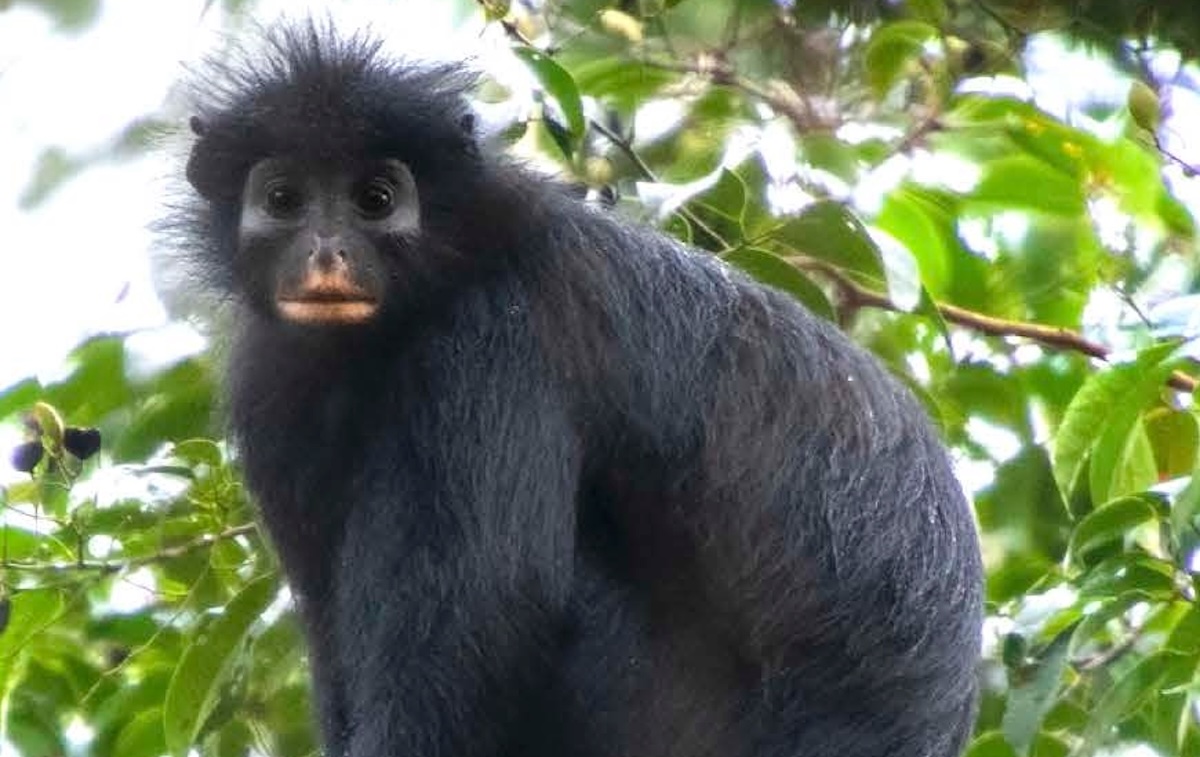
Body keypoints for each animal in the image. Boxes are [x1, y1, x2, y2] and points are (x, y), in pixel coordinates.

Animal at [168, 22, 983, 757]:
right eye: (284, 198)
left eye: (375, 199)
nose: (327, 252)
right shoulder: (272, 385)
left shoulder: (494, 339)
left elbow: (490, 611)